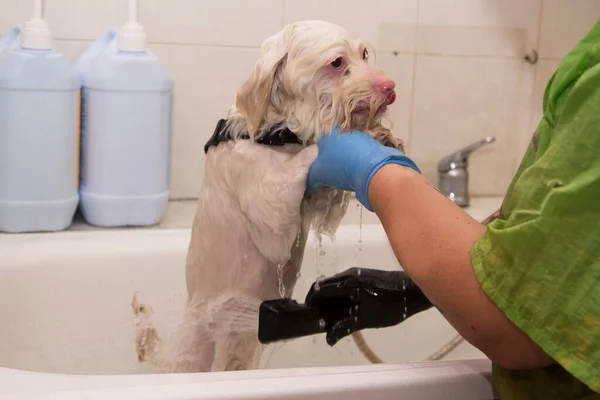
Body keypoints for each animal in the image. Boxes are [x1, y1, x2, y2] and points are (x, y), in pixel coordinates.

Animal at [131, 20, 404, 374]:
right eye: (336, 62)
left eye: (365, 54)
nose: (390, 87)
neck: (277, 135)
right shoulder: (274, 220)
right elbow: (312, 153)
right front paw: (351, 139)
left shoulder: (320, 207)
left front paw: (383, 137)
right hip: (205, 347)